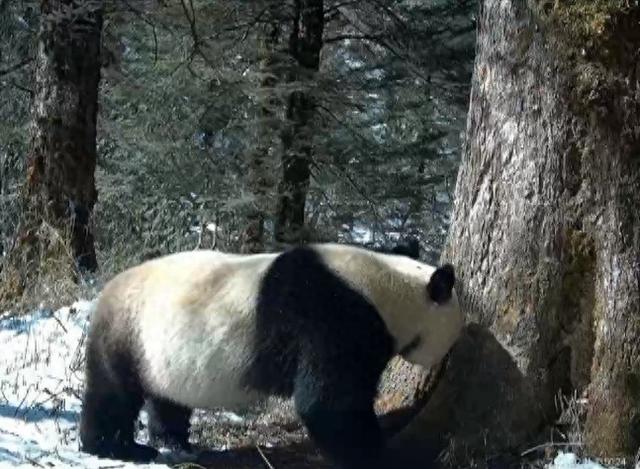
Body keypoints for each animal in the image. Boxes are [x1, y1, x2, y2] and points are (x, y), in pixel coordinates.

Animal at [79, 241, 464, 468]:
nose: (446, 361)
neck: (386, 290)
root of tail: (105, 291)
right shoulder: (333, 319)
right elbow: (328, 403)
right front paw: (373, 455)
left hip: (165, 353)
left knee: (168, 397)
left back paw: (173, 440)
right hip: (128, 333)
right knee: (113, 393)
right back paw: (114, 447)